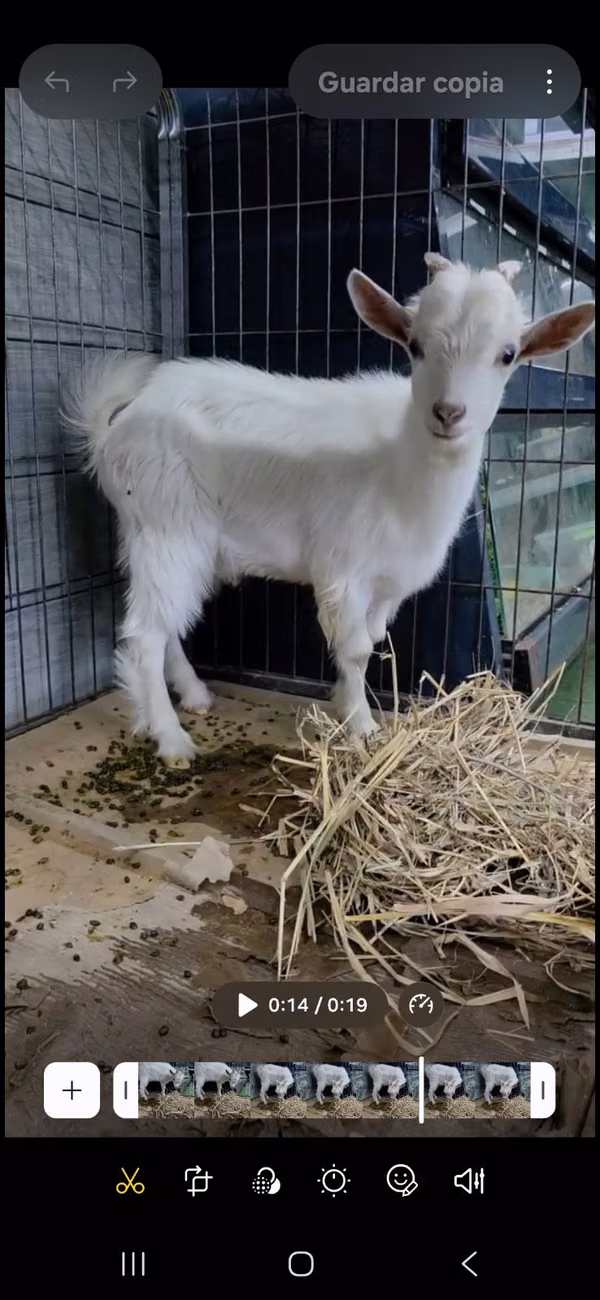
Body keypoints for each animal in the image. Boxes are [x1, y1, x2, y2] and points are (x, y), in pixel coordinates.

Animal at [65, 255, 595, 765]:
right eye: (415, 345)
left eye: (507, 355)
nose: (448, 413)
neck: (400, 468)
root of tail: (116, 425)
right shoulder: (344, 568)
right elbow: (356, 648)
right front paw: (361, 725)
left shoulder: (389, 582)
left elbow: (371, 640)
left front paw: (344, 703)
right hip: (167, 525)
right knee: (144, 634)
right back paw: (171, 738)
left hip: (171, 538)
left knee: (167, 622)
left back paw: (194, 695)